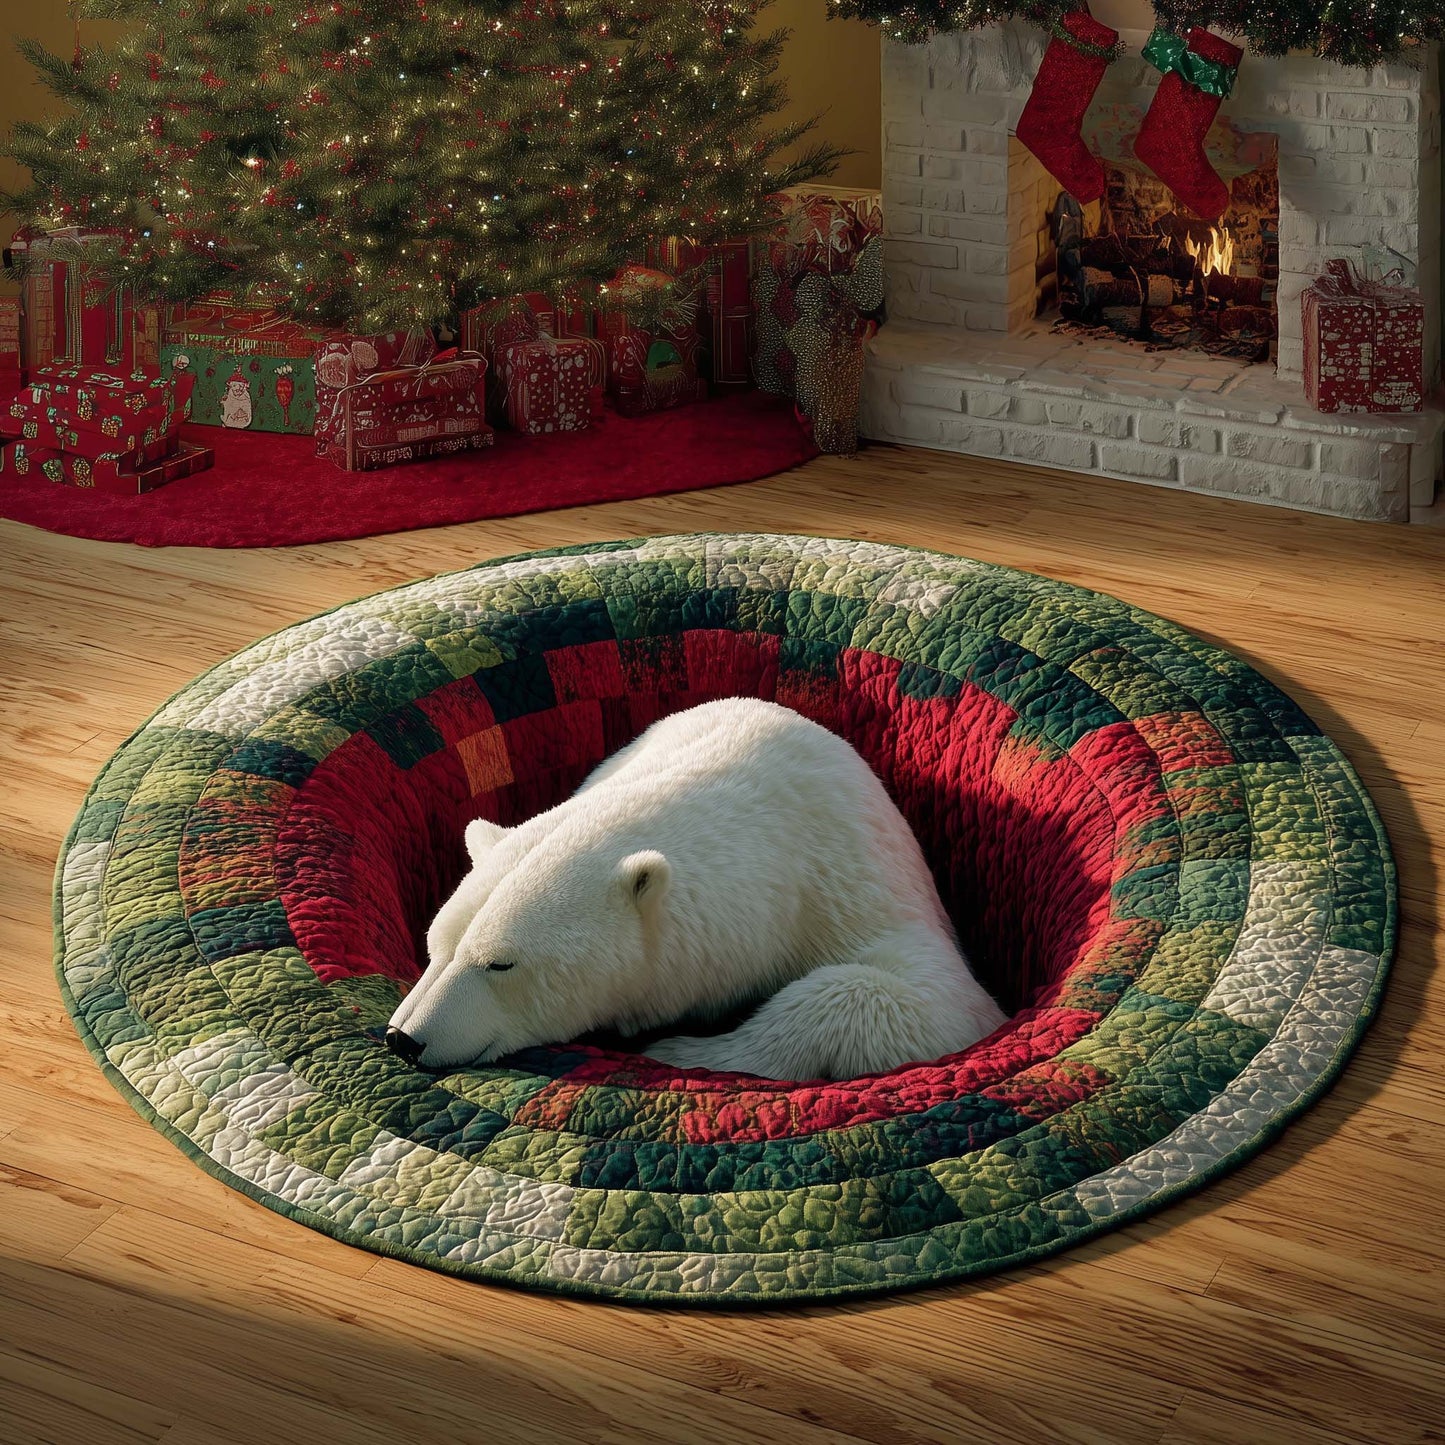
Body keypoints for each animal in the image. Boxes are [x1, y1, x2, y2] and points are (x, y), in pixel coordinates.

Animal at [385, 697, 1006, 1080]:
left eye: (499, 963)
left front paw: (684, 1051)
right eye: (435, 948)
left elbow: (926, 1003)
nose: (404, 1040)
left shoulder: (849, 883)